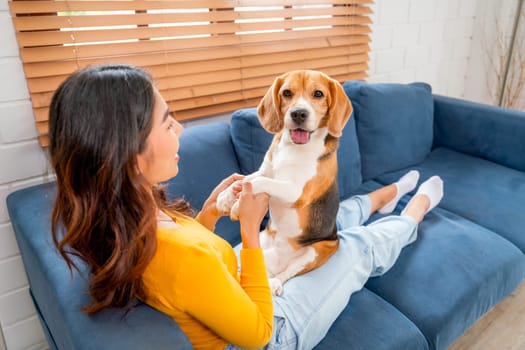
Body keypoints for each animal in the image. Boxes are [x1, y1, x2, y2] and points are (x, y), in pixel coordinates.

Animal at [217, 69, 352, 294]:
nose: (298, 113)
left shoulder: (296, 191)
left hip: (315, 252)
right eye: (287, 93)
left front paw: (236, 205)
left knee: (287, 274)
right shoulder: (266, 170)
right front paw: (224, 198)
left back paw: (274, 283)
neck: (293, 147)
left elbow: (258, 183)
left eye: (318, 94)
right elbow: (246, 179)